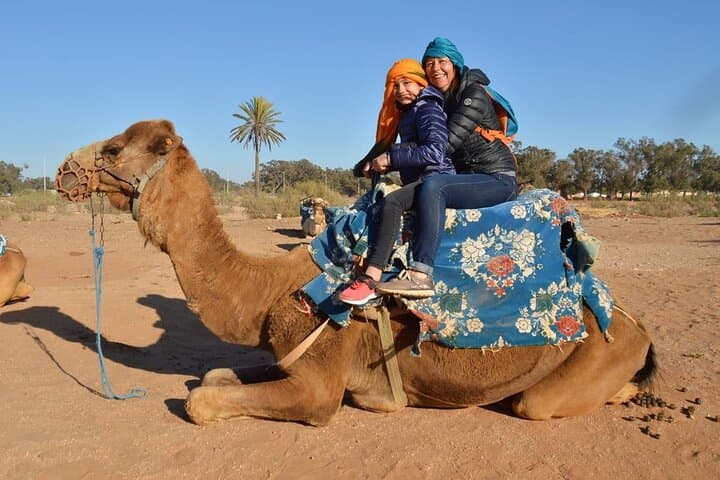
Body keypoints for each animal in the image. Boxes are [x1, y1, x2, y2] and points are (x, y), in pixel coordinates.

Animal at [55, 120, 656, 426]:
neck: (271, 289)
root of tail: (631, 322)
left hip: (589, 359)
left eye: (114, 147)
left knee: (539, 404)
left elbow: (202, 400)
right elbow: (215, 377)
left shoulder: (321, 378)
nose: (63, 171)